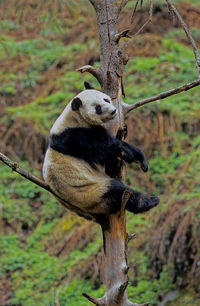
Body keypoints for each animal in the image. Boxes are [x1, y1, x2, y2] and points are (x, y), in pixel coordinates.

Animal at [42, 87, 159, 219]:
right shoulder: (75, 137)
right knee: (117, 192)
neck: (75, 117)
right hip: (91, 194)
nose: (113, 111)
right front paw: (136, 155)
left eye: (106, 99)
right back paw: (149, 201)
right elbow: (106, 149)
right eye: (98, 108)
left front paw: (125, 130)